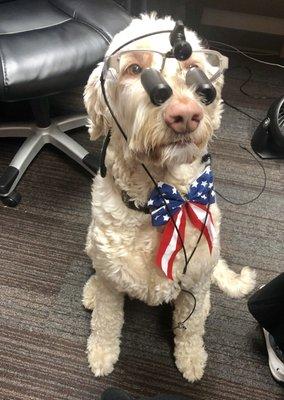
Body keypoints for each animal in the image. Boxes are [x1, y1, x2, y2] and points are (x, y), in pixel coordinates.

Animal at [82, 14, 255, 382]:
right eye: (134, 69)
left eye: (194, 69)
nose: (185, 113)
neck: (160, 201)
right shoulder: (112, 284)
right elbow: (106, 321)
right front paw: (102, 355)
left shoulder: (194, 284)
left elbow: (189, 327)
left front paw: (191, 359)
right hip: (94, 247)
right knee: (96, 274)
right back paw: (90, 289)